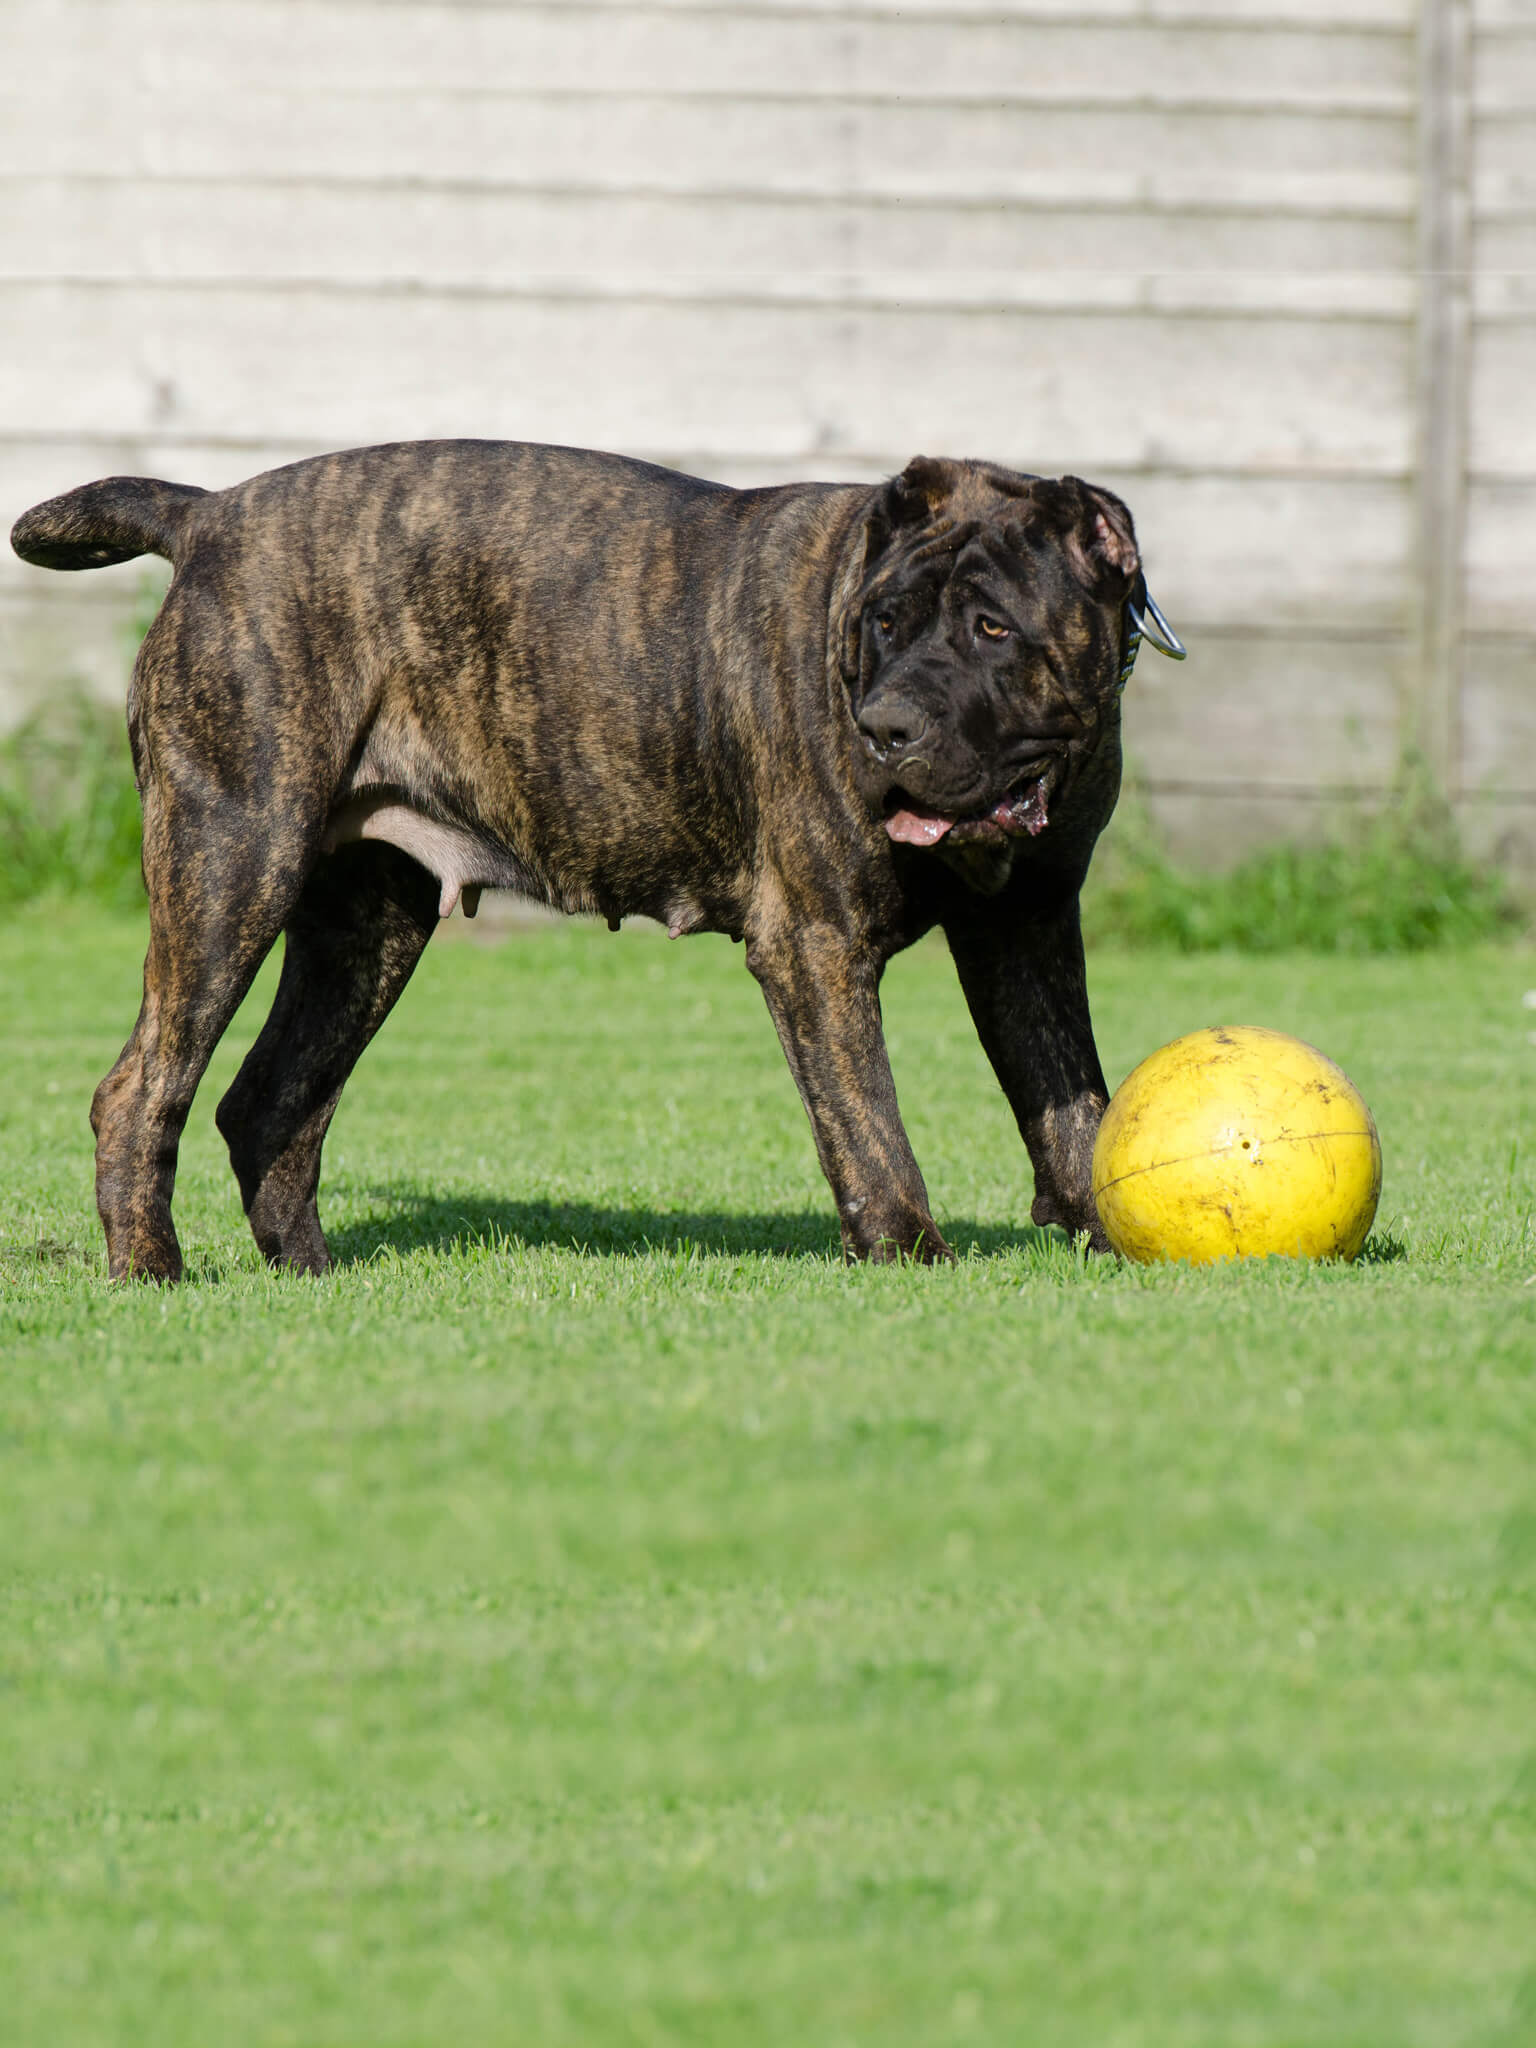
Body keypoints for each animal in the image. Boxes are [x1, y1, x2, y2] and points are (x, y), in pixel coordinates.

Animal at [9, 444, 1179, 1277]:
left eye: (992, 627)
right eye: (884, 621)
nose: (885, 726)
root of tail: (209, 514)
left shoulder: (1028, 929)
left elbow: (1070, 1099)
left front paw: (1108, 1233)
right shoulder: (816, 940)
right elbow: (868, 1120)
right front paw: (909, 1253)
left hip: (363, 927)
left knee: (270, 1100)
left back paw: (308, 1273)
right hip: (231, 864)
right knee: (142, 1086)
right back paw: (151, 1270)